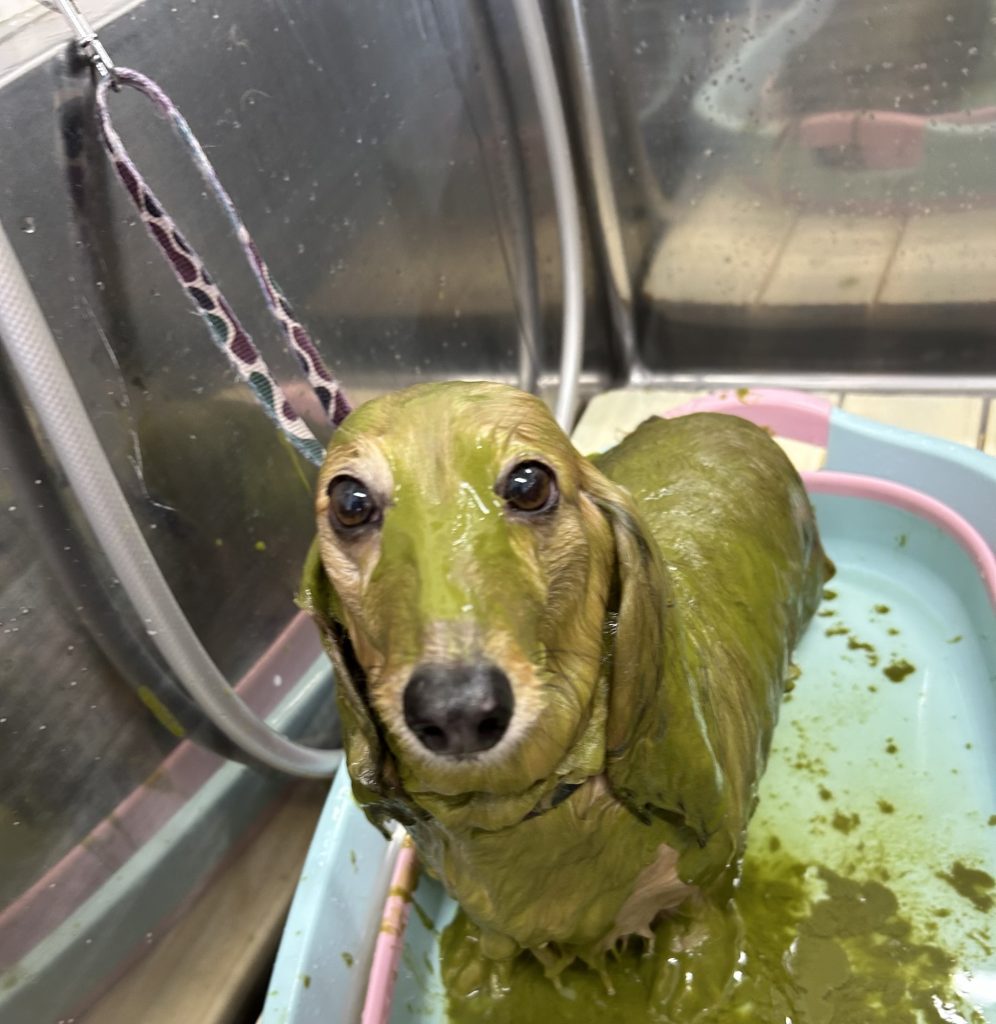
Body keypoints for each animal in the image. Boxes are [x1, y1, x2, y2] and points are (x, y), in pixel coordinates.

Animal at [300, 381, 831, 970]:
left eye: (529, 484)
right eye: (350, 502)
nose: (457, 709)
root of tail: (735, 421)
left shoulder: (699, 907)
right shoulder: (494, 935)